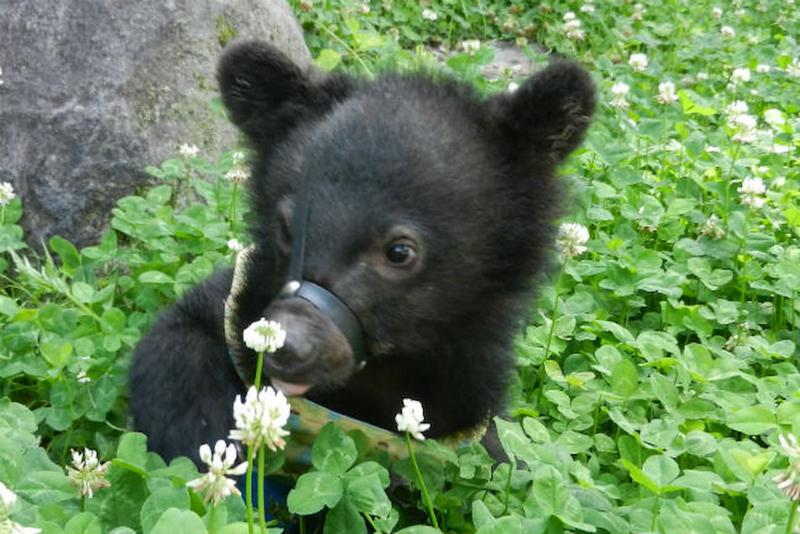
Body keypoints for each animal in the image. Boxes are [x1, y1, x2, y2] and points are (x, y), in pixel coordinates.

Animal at [128, 40, 595, 466]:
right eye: (287, 227)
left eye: (399, 251)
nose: (287, 343)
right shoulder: (229, 307)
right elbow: (177, 349)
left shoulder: (467, 412)